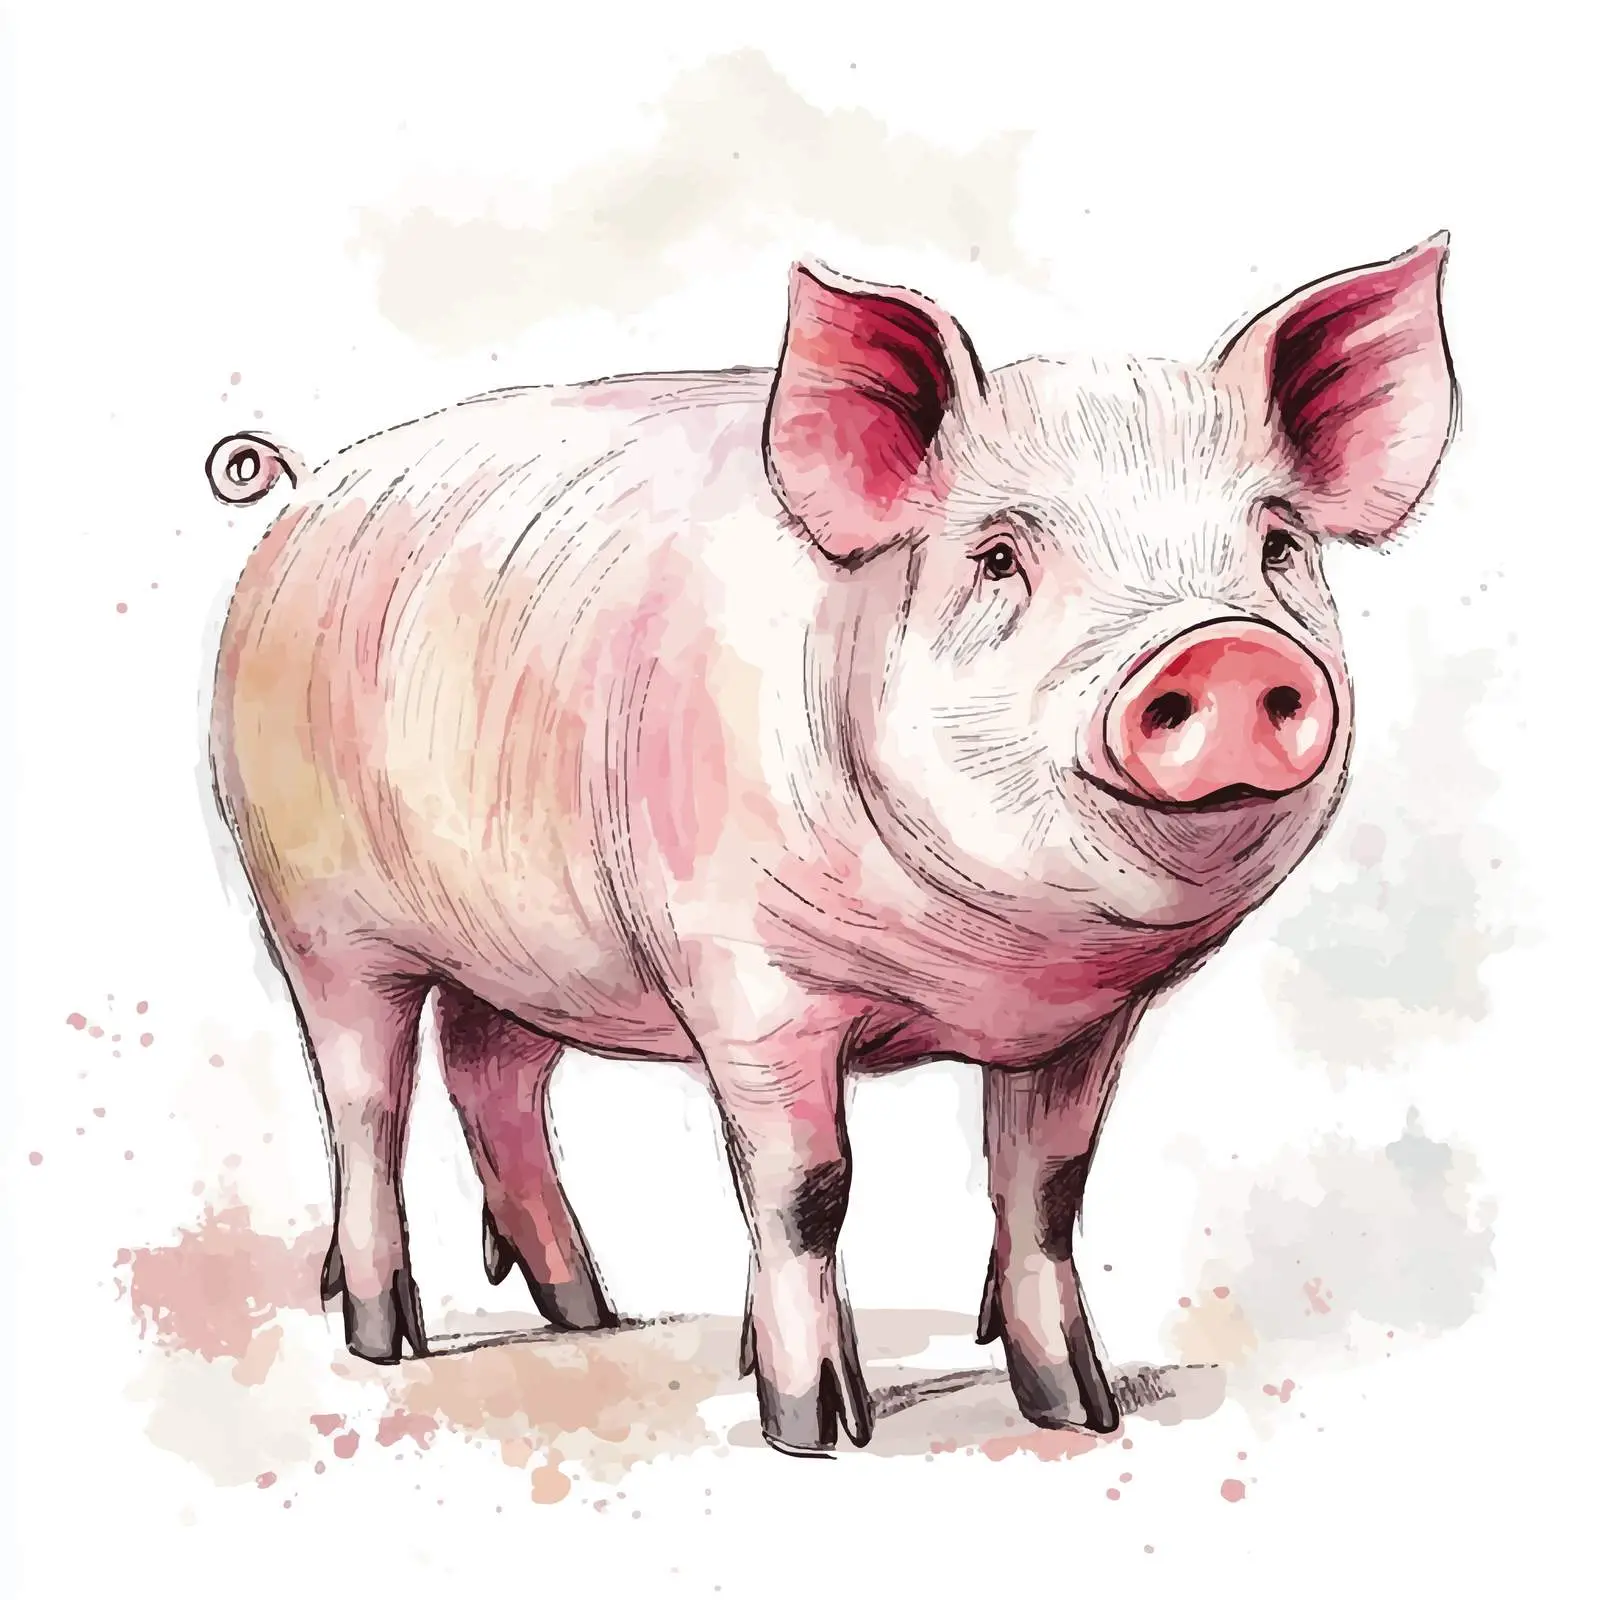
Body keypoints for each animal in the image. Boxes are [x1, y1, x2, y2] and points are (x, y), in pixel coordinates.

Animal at [205, 234, 1456, 1455]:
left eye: (1279, 545)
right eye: (998, 558)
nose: (1225, 650)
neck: (985, 971)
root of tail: (308, 483)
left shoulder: (1081, 1025)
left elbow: (1045, 1189)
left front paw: (1080, 1411)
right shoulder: (746, 975)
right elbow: (809, 1186)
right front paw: (813, 1428)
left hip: (532, 948)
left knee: (491, 1071)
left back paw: (588, 1309)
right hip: (310, 911)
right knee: (366, 1102)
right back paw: (387, 1338)